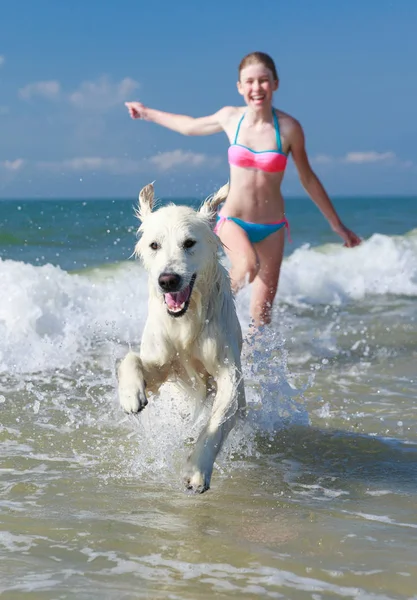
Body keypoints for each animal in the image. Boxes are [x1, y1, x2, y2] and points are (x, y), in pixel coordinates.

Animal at [117, 182, 245, 492]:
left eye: (189, 243)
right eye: (154, 245)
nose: (168, 280)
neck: (185, 320)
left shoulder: (228, 373)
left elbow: (217, 421)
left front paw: (197, 470)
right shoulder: (162, 365)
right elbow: (131, 358)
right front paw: (130, 395)